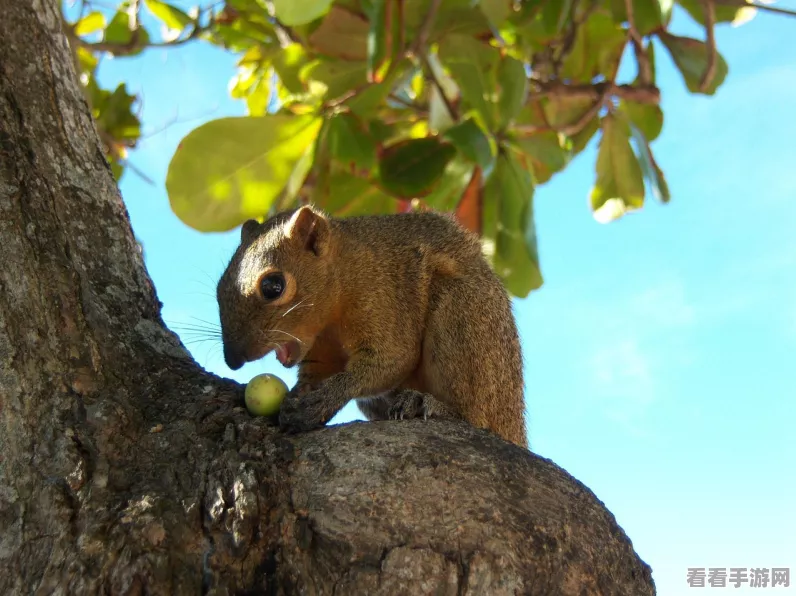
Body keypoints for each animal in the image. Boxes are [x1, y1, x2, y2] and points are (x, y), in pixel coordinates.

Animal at [218, 204, 528, 448]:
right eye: (219, 288)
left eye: (273, 286)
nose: (232, 360)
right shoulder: (320, 354)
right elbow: (316, 375)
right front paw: (298, 397)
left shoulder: (385, 300)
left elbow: (390, 361)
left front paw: (324, 399)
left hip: (464, 320)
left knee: (472, 415)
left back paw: (427, 405)